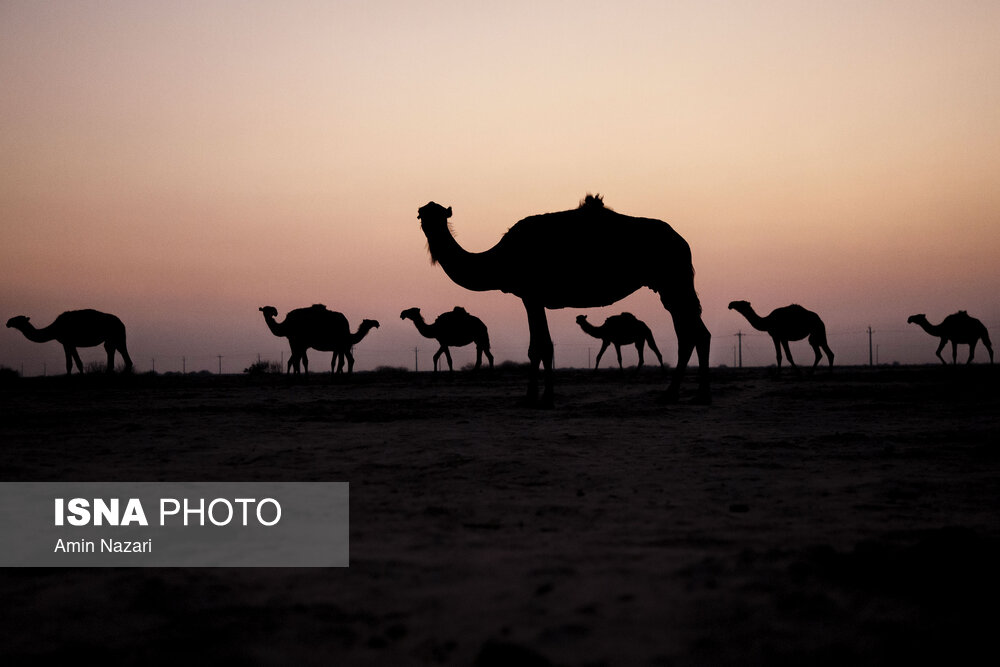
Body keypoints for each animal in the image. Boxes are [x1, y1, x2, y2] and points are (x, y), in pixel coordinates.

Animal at [4, 310, 135, 376]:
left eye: (18, 319)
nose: (8, 322)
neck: (55, 329)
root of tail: (121, 323)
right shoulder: (68, 343)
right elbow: (74, 363)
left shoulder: (68, 342)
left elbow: (73, 363)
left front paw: (77, 376)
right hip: (110, 337)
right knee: (110, 349)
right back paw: (110, 372)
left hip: (117, 334)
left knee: (120, 349)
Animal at [416, 194, 712, 408]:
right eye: (421, 213)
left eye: (438, 213)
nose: (427, 223)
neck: (500, 258)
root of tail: (682, 241)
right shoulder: (532, 298)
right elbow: (540, 346)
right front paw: (538, 396)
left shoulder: (531, 295)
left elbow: (540, 346)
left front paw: (538, 398)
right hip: (669, 286)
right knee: (690, 333)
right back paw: (677, 394)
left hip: (673, 280)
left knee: (696, 333)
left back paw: (696, 395)